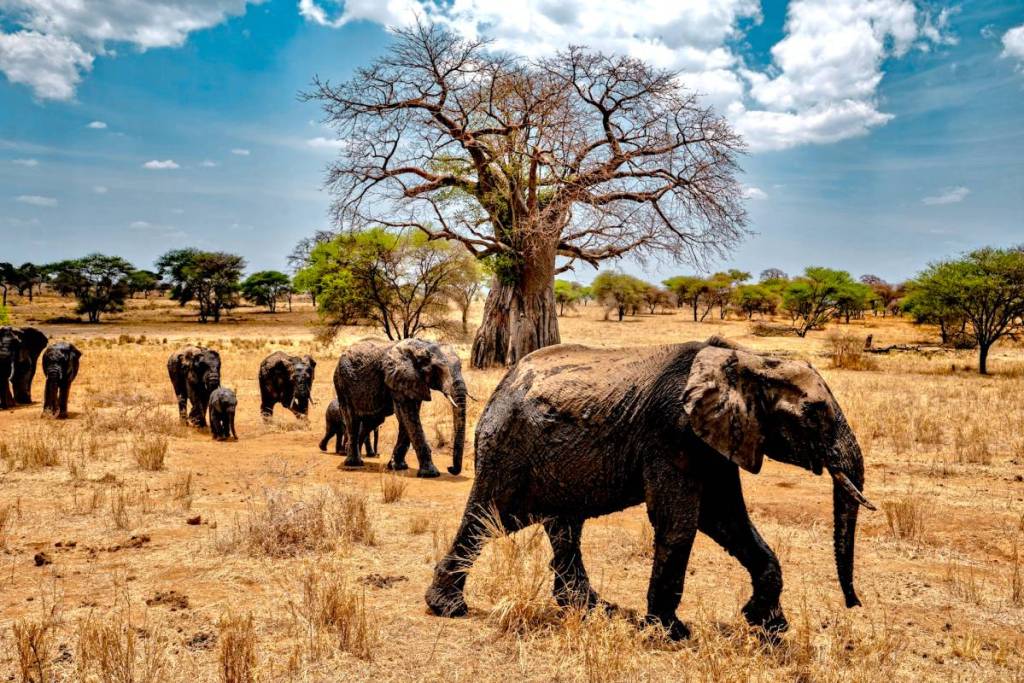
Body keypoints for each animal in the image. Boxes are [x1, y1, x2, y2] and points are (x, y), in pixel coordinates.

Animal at [332, 338, 466, 478]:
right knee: (352, 420)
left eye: (461, 367)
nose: (450, 468)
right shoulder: (400, 378)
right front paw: (431, 474)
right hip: (342, 383)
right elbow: (408, 415)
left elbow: (407, 419)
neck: (421, 347)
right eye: (438, 369)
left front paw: (397, 467)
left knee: (371, 421)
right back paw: (354, 463)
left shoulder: (412, 382)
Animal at [425, 337, 875, 640]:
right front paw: (670, 632)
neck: (747, 359)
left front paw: (770, 627)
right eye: (814, 413)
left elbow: (726, 519)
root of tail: (503, 384)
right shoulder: (672, 432)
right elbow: (680, 522)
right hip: (507, 448)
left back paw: (593, 609)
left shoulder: (718, 438)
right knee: (487, 518)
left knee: (562, 527)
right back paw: (448, 608)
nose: (855, 604)